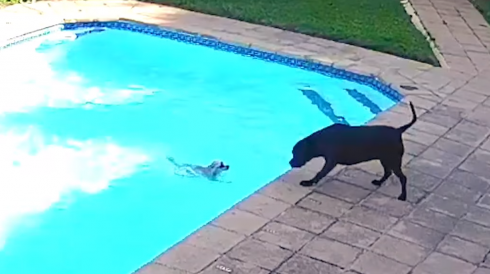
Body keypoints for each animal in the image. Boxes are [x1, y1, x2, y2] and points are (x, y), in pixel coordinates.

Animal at [290, 101, 420, 200]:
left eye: (296, 153)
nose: (290, 163)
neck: (321, 139)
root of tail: (398, 131)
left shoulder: (330, 161)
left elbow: (320, 173)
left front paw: (309, 182)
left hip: (393, 160)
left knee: (402, 178)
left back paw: (403, 196)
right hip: (385, 159)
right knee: (388, 172)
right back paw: (379, 182)